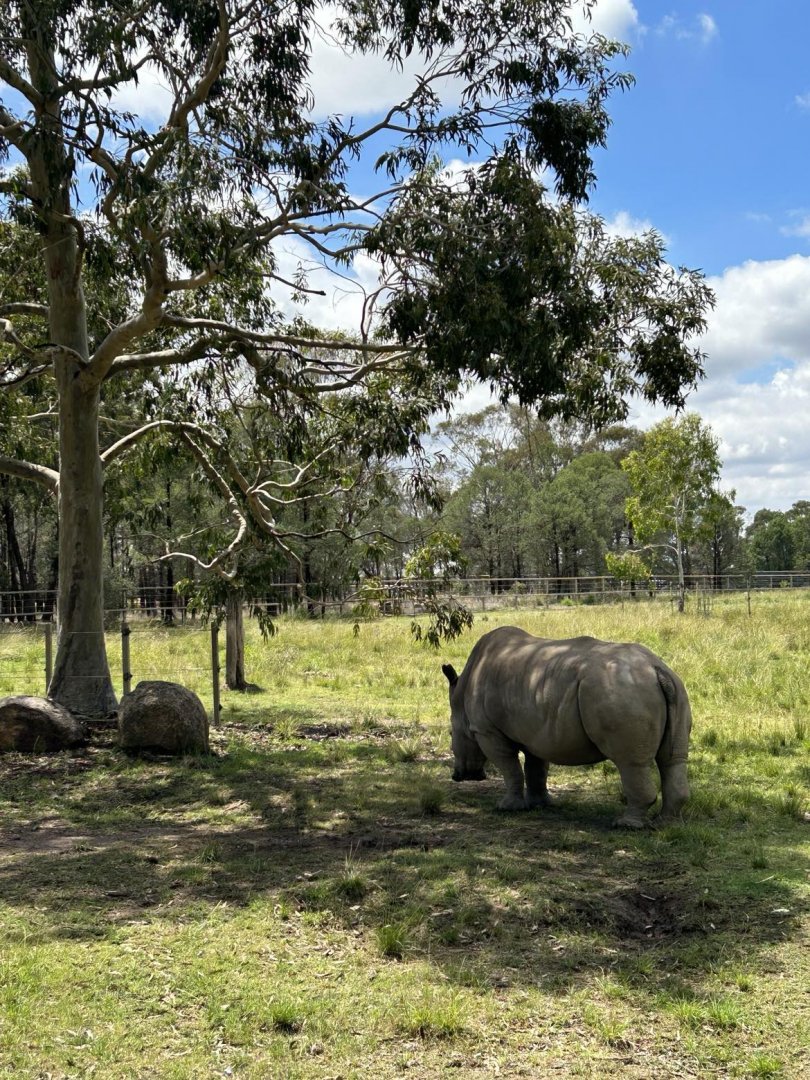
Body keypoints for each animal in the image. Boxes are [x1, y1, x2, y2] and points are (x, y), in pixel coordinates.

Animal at [442, 625, 692, 827]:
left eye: (451, 734)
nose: (458, 776)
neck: (461, 693)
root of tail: (655, 668)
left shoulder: (486, 730)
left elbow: (509, 767)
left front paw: (507, 808)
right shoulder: (536, 731)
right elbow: (536, 767)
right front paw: (540, 804)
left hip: (622, 690)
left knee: (629, 762)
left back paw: (626, 825)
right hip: (673, 688)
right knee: (672, 759)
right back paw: (666, 824)